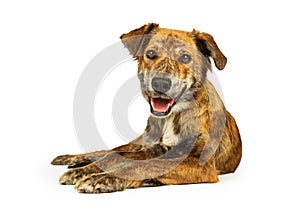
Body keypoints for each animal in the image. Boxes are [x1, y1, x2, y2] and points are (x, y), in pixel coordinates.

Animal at [51, 23, 241, 194]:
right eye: (150, 54)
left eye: (186, 58)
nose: (161, 83)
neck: (171, 118)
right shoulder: (149, 150)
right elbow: (112, 157)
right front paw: (83, 171)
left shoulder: (201, 164)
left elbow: (145, 165)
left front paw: (103, 178)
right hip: (137, 143)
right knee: (109, 151)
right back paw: (72, 159)